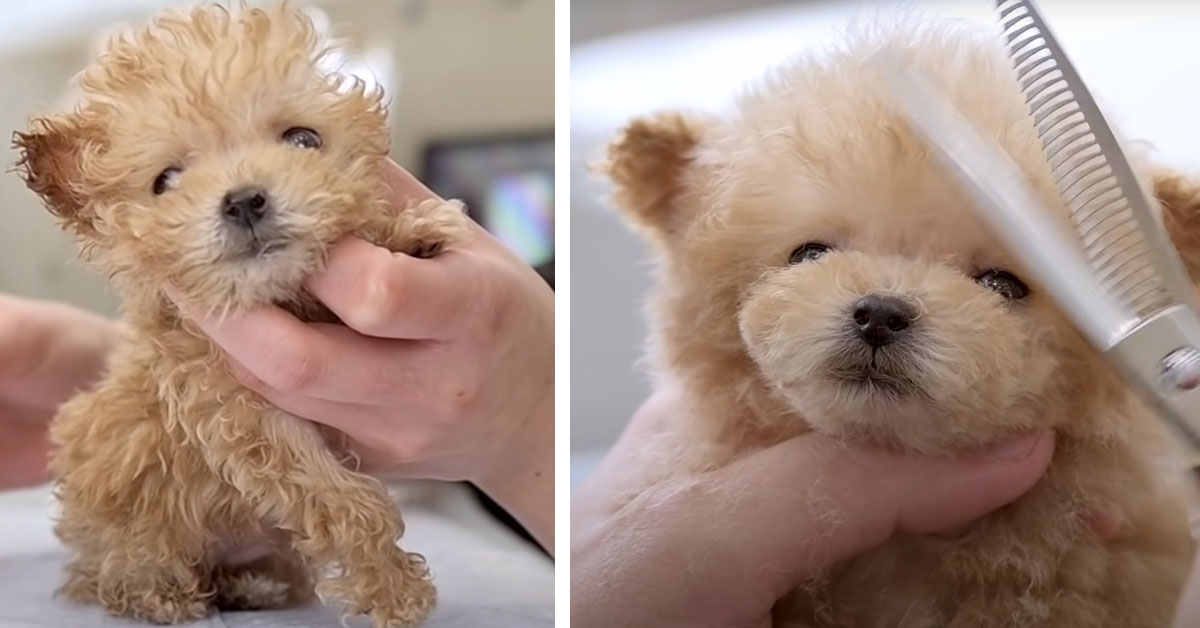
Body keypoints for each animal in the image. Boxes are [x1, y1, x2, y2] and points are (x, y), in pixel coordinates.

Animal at [10, 2, 468, 624]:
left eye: (303, 139)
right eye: (165, 181)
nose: (245, 200)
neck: (279, 295)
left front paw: (411, 236)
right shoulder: (239, 410)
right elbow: (346, 503)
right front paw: (395, 591)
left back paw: (254, 584)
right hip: (124, 523)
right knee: (124, 570)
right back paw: (164, 595)